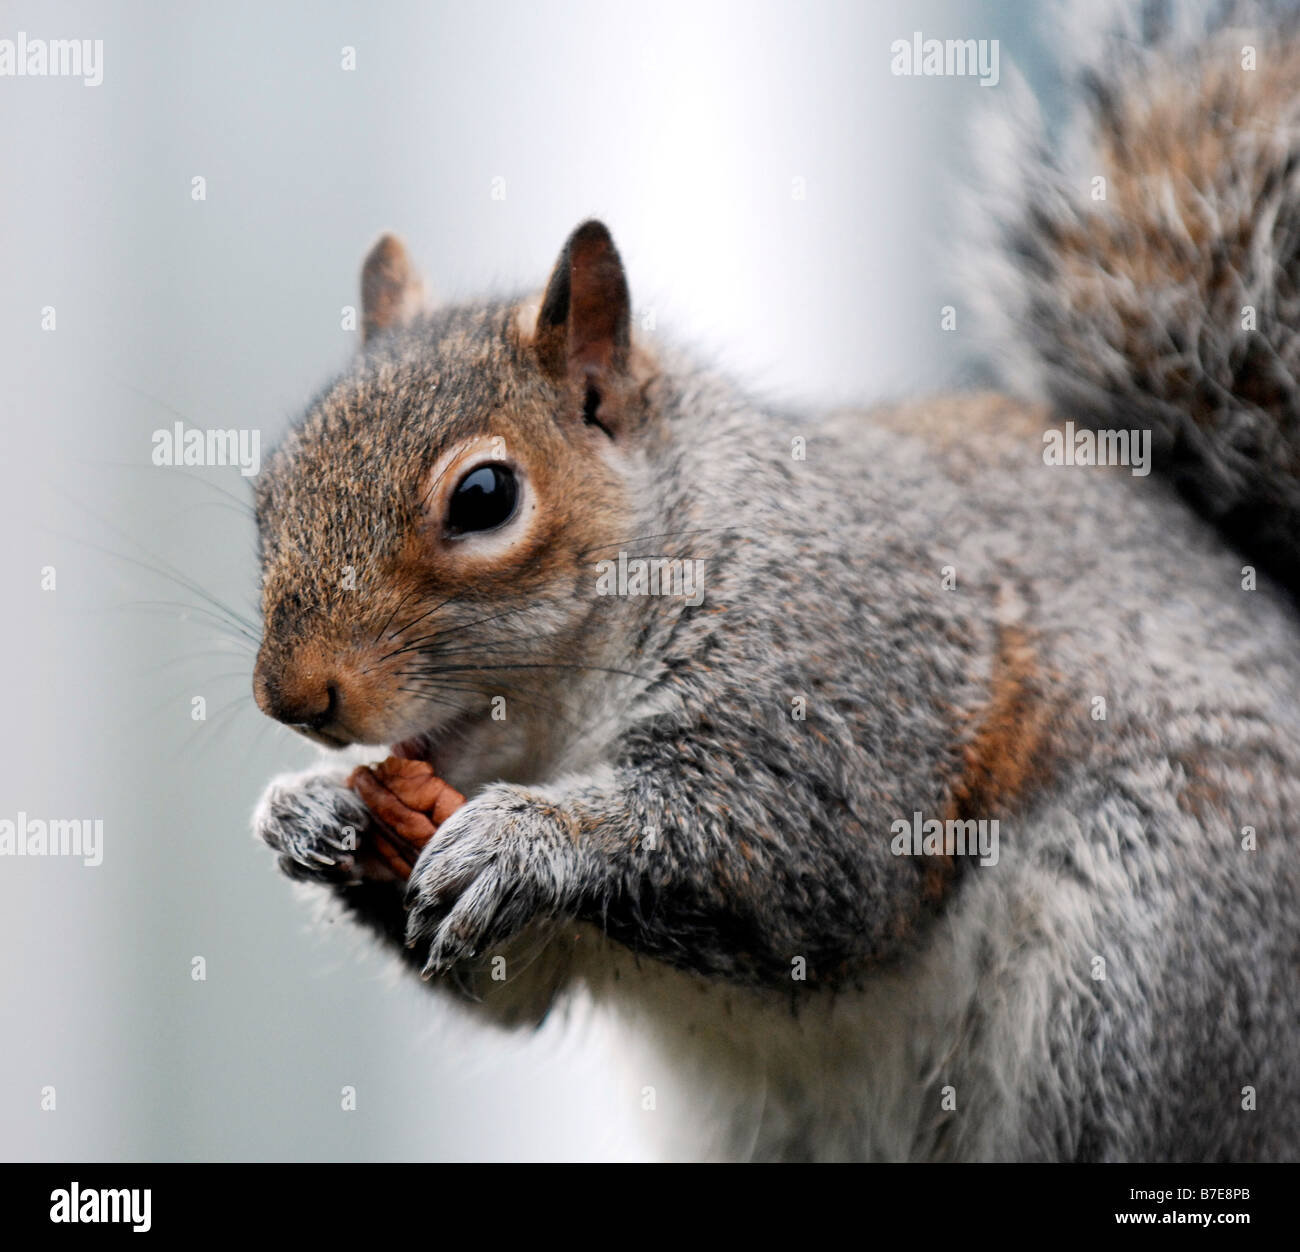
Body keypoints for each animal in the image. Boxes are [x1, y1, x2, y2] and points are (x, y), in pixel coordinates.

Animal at [252, 6, 1300, 1160]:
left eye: (484, 496)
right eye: (266, 490)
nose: (290, 697)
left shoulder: (833, 672)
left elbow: (804, 856)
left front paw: (528, 837)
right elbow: (505, 983)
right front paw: (308, 812)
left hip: (1149, 955)